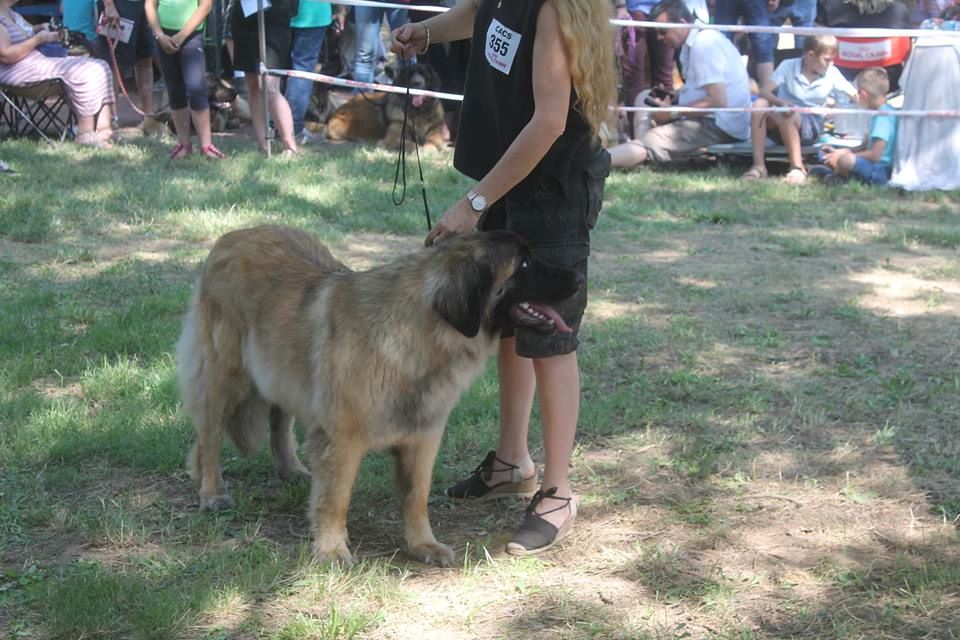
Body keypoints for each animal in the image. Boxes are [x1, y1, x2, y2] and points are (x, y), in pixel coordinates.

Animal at [178, 225, 584, 564]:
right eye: (525, 263)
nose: (580, 277)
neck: (422, 330)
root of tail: (231, 237)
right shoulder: (342, 438)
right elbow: (336, 498)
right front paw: (332, 549)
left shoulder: (423, 435)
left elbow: (416, 496)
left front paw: (423, 545)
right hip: (223, 376)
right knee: (209, 437)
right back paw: (212, 492)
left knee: (279, 420)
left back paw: (290, 468)